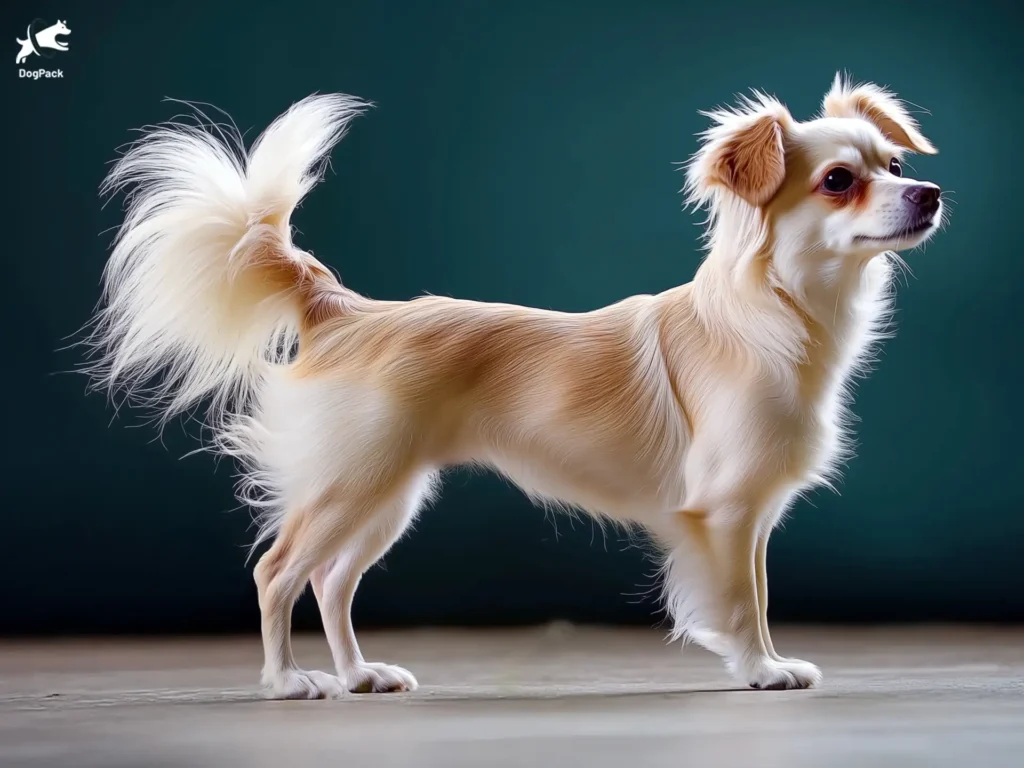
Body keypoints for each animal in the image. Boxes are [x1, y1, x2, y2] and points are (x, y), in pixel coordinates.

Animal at [86, 76, 942, 696]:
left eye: (896, 168)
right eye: (839, 181)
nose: (929, 193)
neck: (786, 315)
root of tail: (345, 310)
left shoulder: (752, 518)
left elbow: (756, 592)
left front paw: (765, 660)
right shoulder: (727, 514)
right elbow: (742, 601)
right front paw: (762, 669)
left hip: (385, 497)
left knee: (329, 582)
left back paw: (359, 675)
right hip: (351, 486)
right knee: (277, 573)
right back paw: (287, 680)